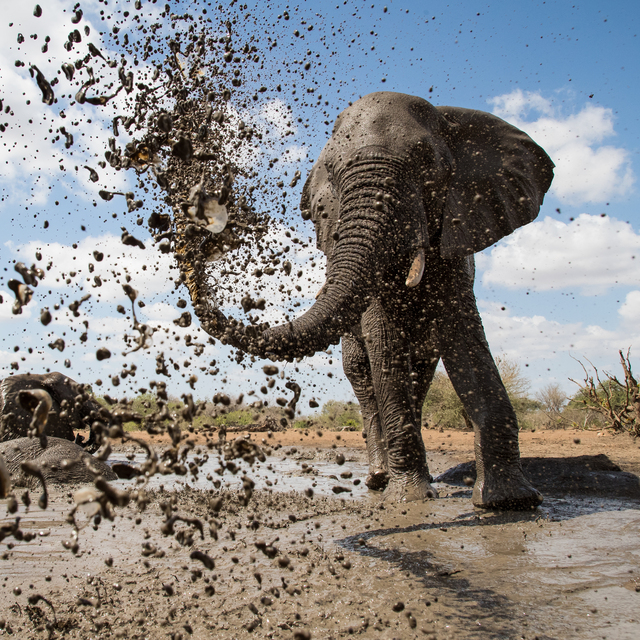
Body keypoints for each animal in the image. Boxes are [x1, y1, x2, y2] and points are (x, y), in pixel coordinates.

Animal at [191, 90, 556, 510]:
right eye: (333, 172)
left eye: (427, 163)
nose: (202, 232)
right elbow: (384, 342)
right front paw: (410, 499)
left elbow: (467, 343)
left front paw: (510, 501)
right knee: (364, 376)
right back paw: (380, 478)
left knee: (421, 372)